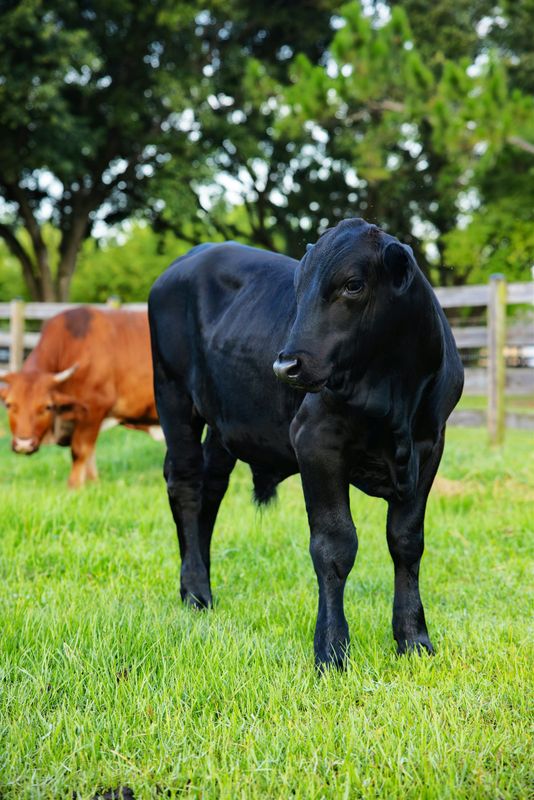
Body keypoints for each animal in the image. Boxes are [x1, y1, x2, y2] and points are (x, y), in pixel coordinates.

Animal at [0, 307, 159, 488]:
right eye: (9, 405)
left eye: (47, 406)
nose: (23, 444)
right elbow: (90, 454)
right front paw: (93, 483)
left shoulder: (94, 409)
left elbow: (80, 451)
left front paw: (74, 485)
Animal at [148, 218, 464, 669]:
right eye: (298, 287)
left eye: (353, 284)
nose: (285, 365)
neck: (394, 395)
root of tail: (193, 255)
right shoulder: (316, 443)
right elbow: (335, 545)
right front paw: (331, 650)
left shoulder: (430, 445)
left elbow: (406, 542)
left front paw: (414, 639)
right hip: (172, 394)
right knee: (186, 485)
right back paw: (194, 591)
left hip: (224, 422)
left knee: (211, 490)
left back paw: (202, 584)